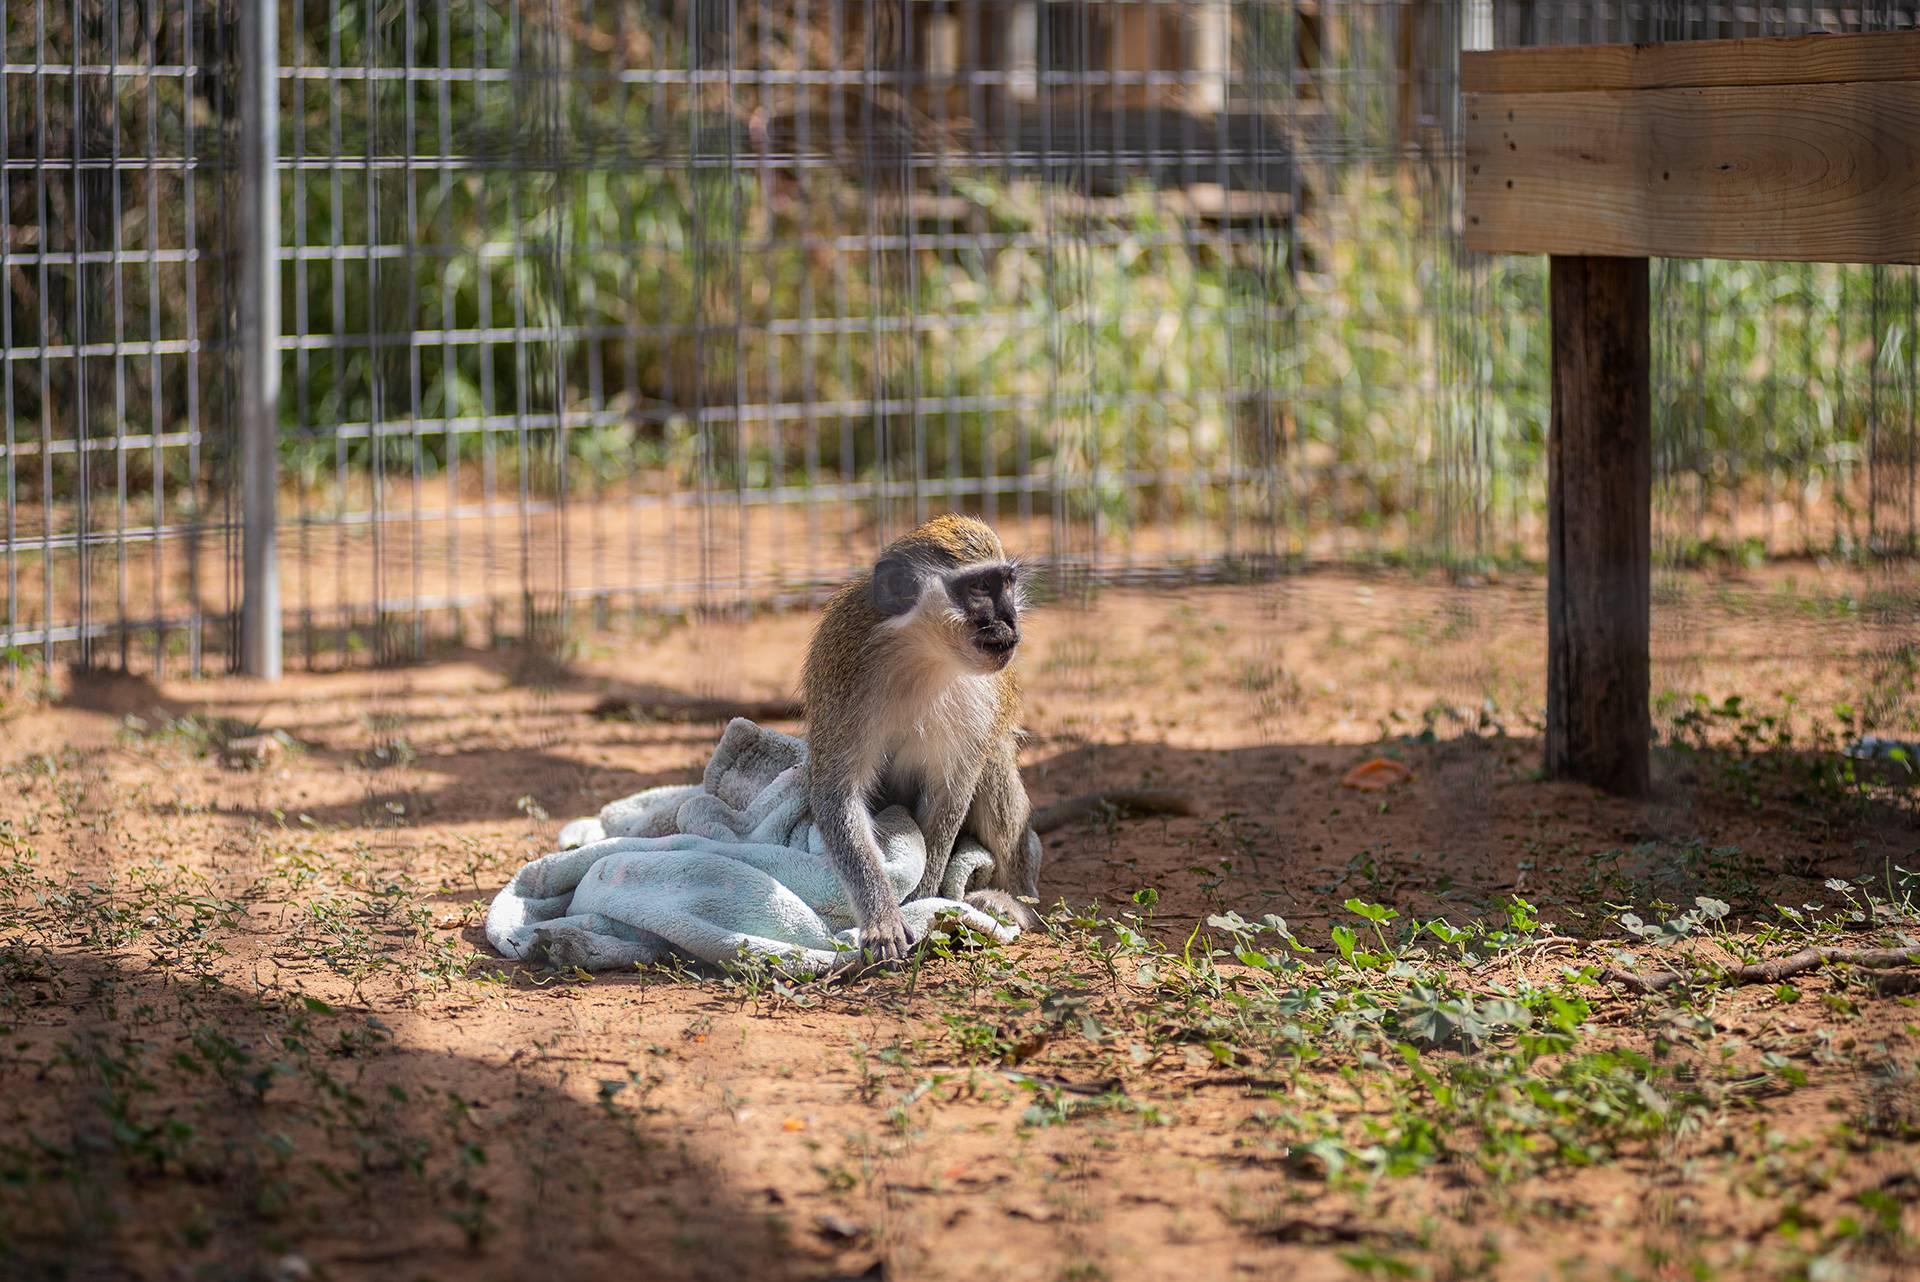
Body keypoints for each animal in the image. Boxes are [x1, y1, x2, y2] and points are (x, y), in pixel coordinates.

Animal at [810, 514, 1052, 959]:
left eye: (1007, 583)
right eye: (979, 587)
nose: (1010, 621)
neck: (923, 653)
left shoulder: (981, 699)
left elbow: (951, 796)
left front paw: (924, 902)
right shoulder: (842, 670)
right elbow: (838, 793)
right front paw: (883, 917)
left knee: (993, 762)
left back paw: (1015, 903)